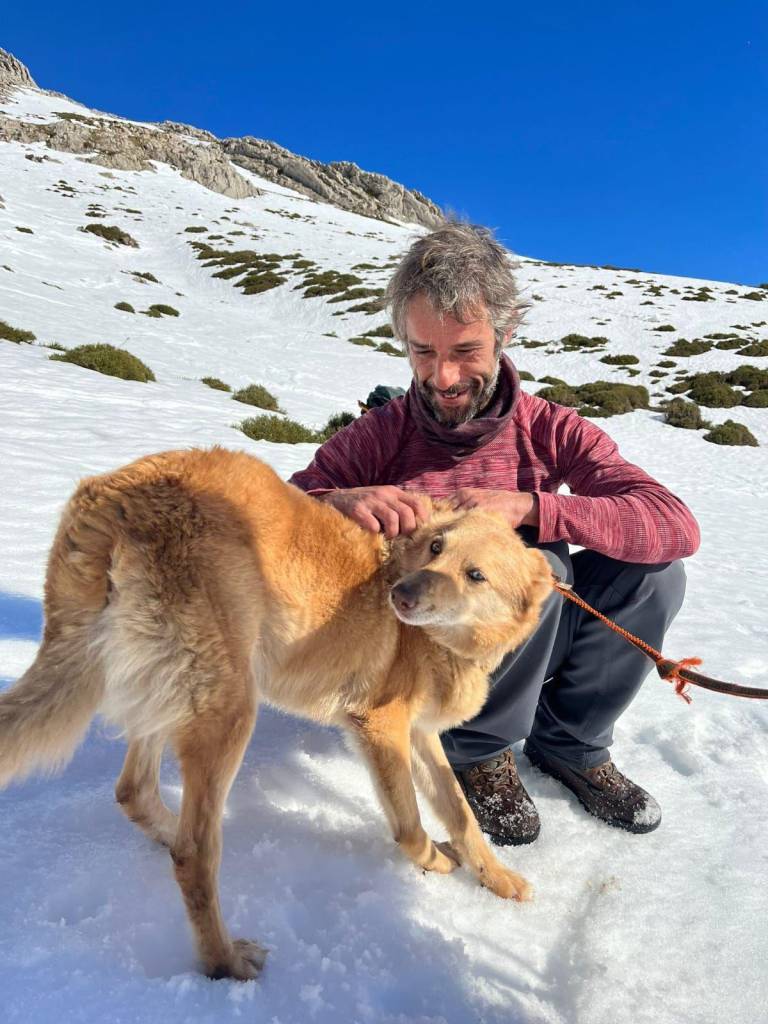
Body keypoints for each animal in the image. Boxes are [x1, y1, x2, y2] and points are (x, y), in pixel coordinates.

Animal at [0, 446, 552, 974]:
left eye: (475, 576)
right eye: (437, 549)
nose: (401, 594)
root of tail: (115, 499)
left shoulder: (417, 736)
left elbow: (461, 814)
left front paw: (498, 878)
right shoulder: (381, 728)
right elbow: (411, 824)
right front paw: (434, 861)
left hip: (170, 696)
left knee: (134, 793)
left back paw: (166, 832)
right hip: (229, 710)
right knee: (193, 854)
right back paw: (224, 962)